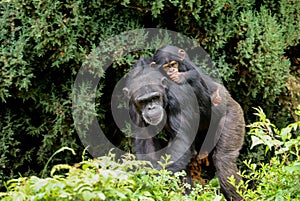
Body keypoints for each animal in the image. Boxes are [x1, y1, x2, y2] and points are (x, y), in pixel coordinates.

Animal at [123, 48, 245, 200]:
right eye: (143, 101)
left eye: (155, 97)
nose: (151, 107)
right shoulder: (132, 106)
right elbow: (146, 141)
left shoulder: (179, 96)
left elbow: (181, 141)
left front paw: (152, 178)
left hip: (233, 116)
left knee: (224, 162)